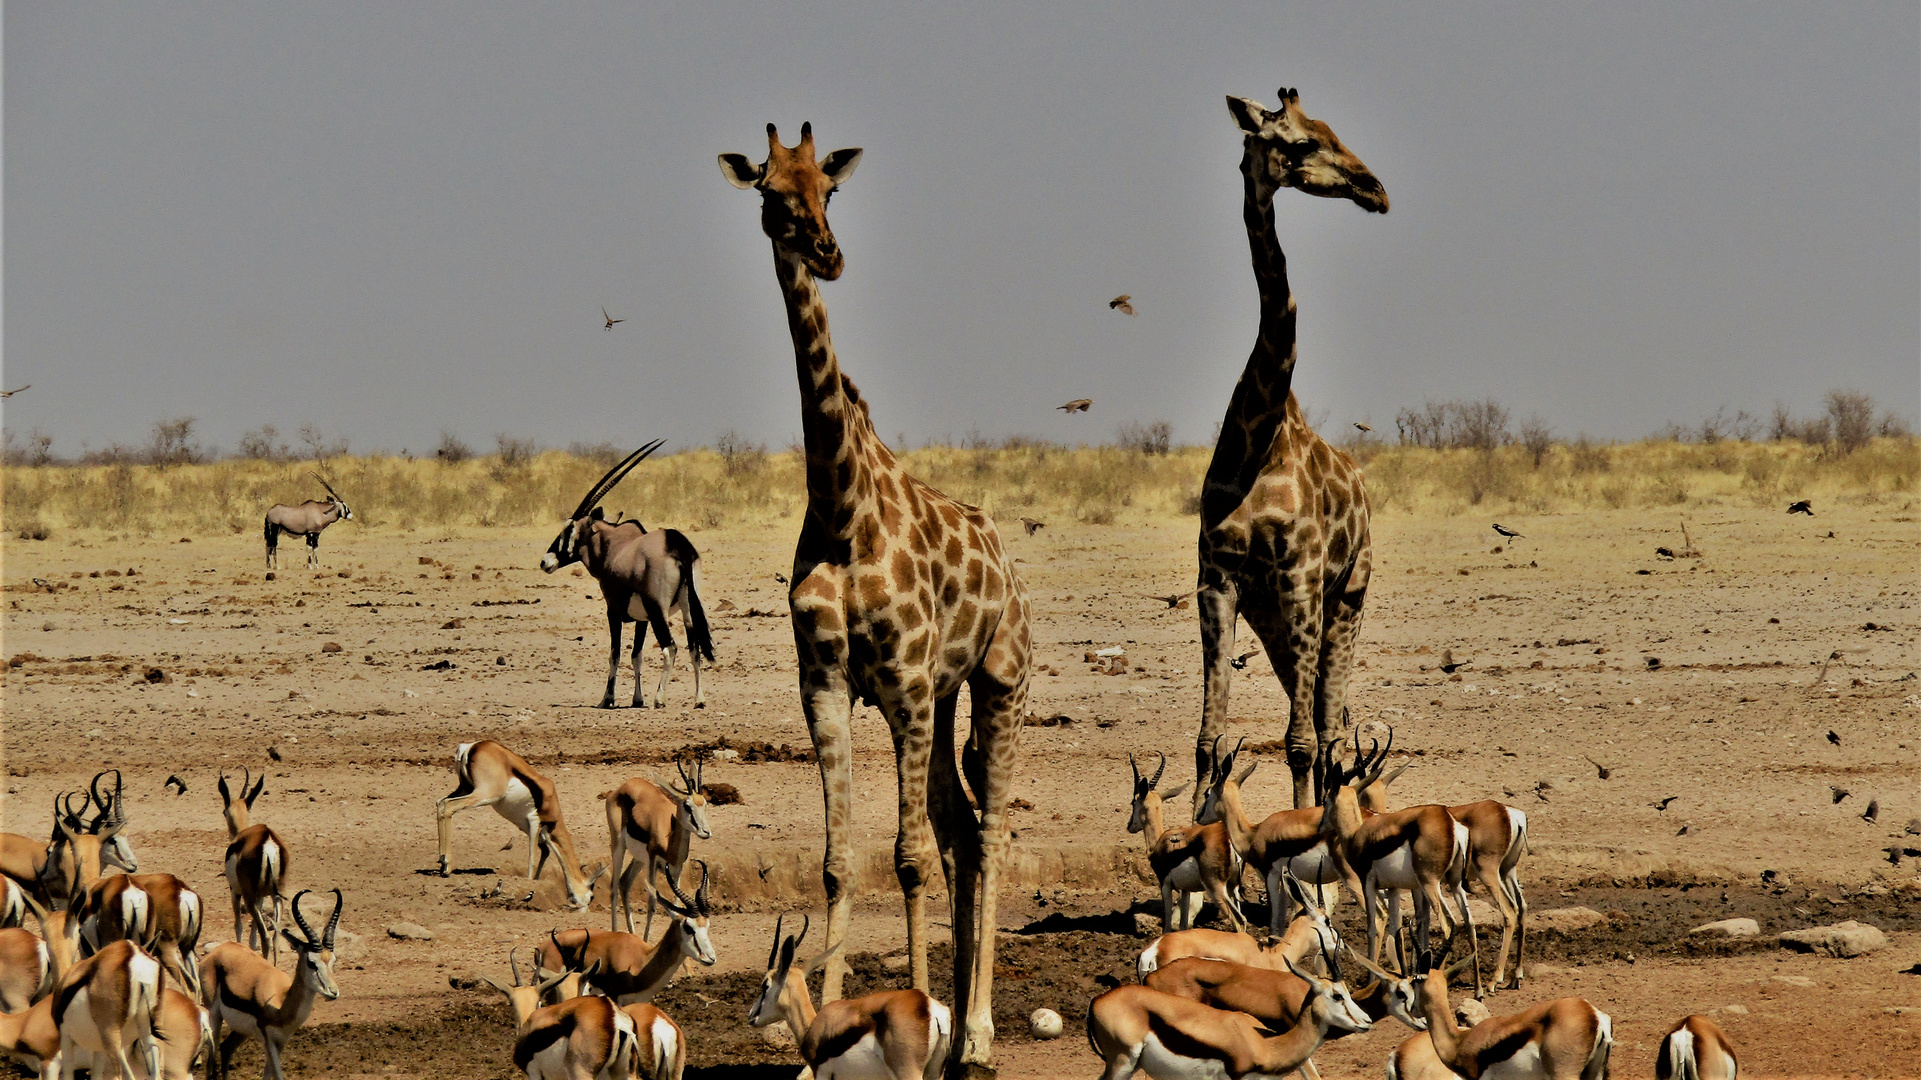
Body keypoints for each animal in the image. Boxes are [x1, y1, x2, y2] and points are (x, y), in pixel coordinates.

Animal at [722, 122, 1029, 1068]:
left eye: (829, 188)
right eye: (770, 194)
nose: (827, 252)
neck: (841, 506)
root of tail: (1008, 565)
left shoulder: (901, 684)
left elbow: (907, 857)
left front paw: (922, 1022)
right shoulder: (824, 683)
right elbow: (838, 860)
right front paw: (826, 1024)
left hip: (998, 681)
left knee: (987, 829)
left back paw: (975, 1033)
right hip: (943, 697)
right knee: (961, 825)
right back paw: (963, 1028)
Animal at [1191, 90, 1390, 807]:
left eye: (1332, 128)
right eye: (1302, 142)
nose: (1375, 189)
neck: (1259, 434)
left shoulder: (1303, 578)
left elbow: (1301, 741)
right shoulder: (1217, 581)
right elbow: (1209, 739)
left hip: (1348, 594)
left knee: (1328, 730)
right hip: (1272, 614)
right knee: (1322, 722)